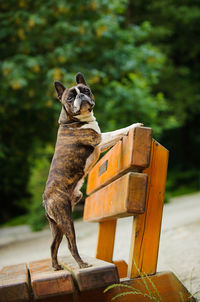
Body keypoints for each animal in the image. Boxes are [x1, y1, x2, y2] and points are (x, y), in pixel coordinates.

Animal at [43, 72, 144, 270]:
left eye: (86, 90)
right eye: (70, 97)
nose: (82, 96)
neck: (74, 121)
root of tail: (45, 198)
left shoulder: (100, 144)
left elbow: (115, 137)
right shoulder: (97, 138)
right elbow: (117, 131)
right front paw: (134, 125)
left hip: (56, 225)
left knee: (53, 245)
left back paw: (56, 267)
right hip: (66, 218)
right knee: (70, 244)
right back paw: (82, 264)